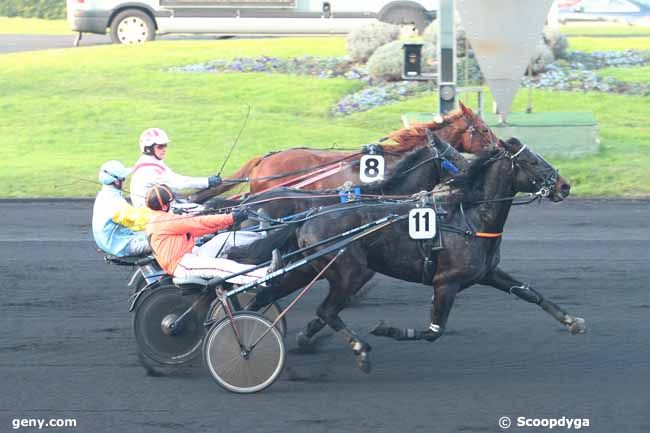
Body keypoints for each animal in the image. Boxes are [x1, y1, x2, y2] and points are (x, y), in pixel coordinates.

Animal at [234, 138, 576, 372]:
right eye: (532, 162)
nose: (565, 185)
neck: (469, 217)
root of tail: (308, 218)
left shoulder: (488, 273)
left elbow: (529, 292)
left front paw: (572, 321)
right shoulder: (445, 282)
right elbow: (434, 331)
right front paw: (387, 329)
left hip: (307, 267)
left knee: (267, 294)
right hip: (347, 270)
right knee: (325, 309)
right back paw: (358, 348)